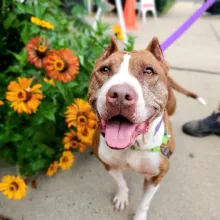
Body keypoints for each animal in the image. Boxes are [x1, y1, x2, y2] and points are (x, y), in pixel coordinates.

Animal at [87, 37, 205, 219]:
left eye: (148, 71)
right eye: (105, 69)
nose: (120, 95)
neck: (133, 146)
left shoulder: (156, 176)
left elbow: (144, 202)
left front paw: (139, 215)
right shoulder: (108, 164)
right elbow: (121, 182)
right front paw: (122, 196)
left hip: (173, 105)